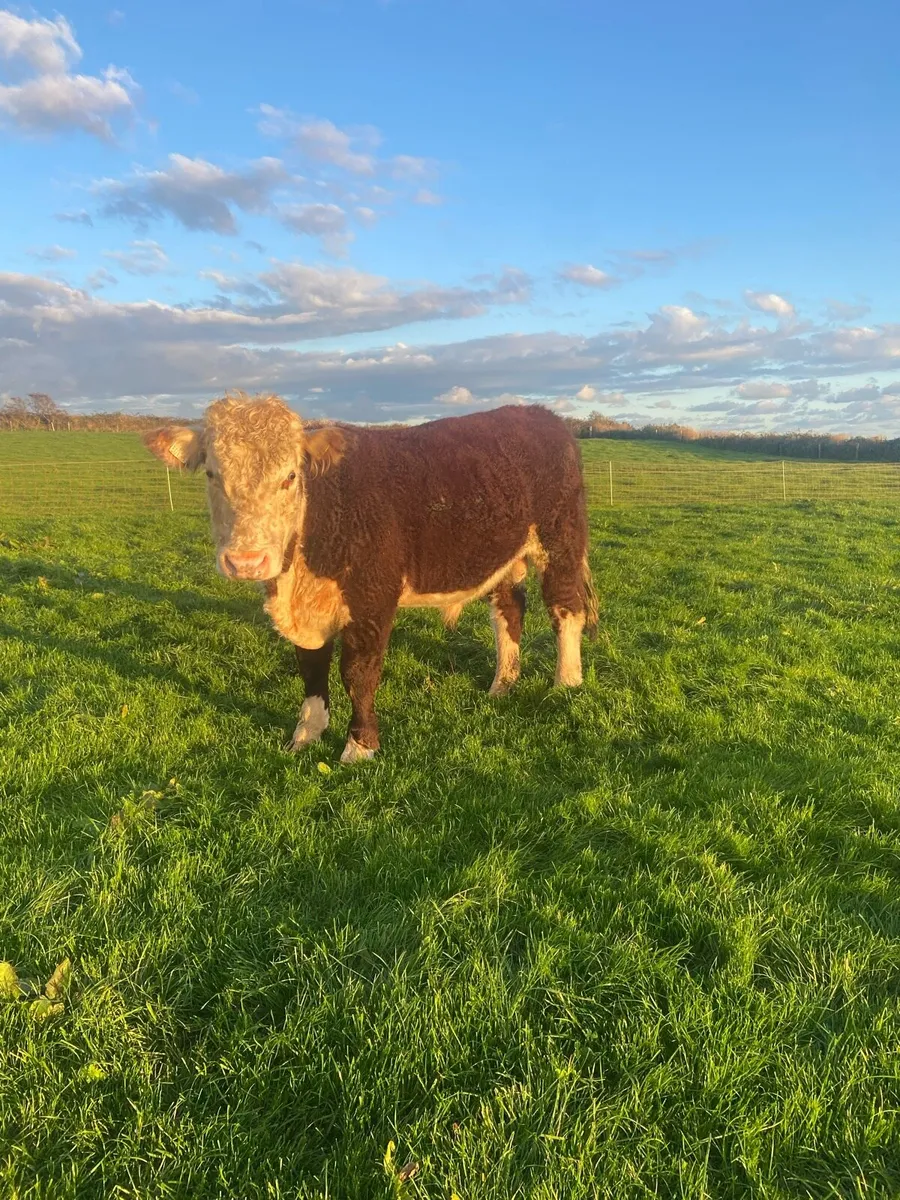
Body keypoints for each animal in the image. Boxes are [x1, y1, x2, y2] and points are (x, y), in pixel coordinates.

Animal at [143, 393, 598, 763]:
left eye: (290, 476)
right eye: (211, 475)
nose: (246, 560)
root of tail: (541, 415)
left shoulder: (374, 598)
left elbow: (358, 673)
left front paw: (359, 746)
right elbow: (311, 667)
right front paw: (305, 734)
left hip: (560, 541)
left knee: (565, 609)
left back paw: (566, 682)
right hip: (504, 555)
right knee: (509, 611)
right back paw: (502, 684)